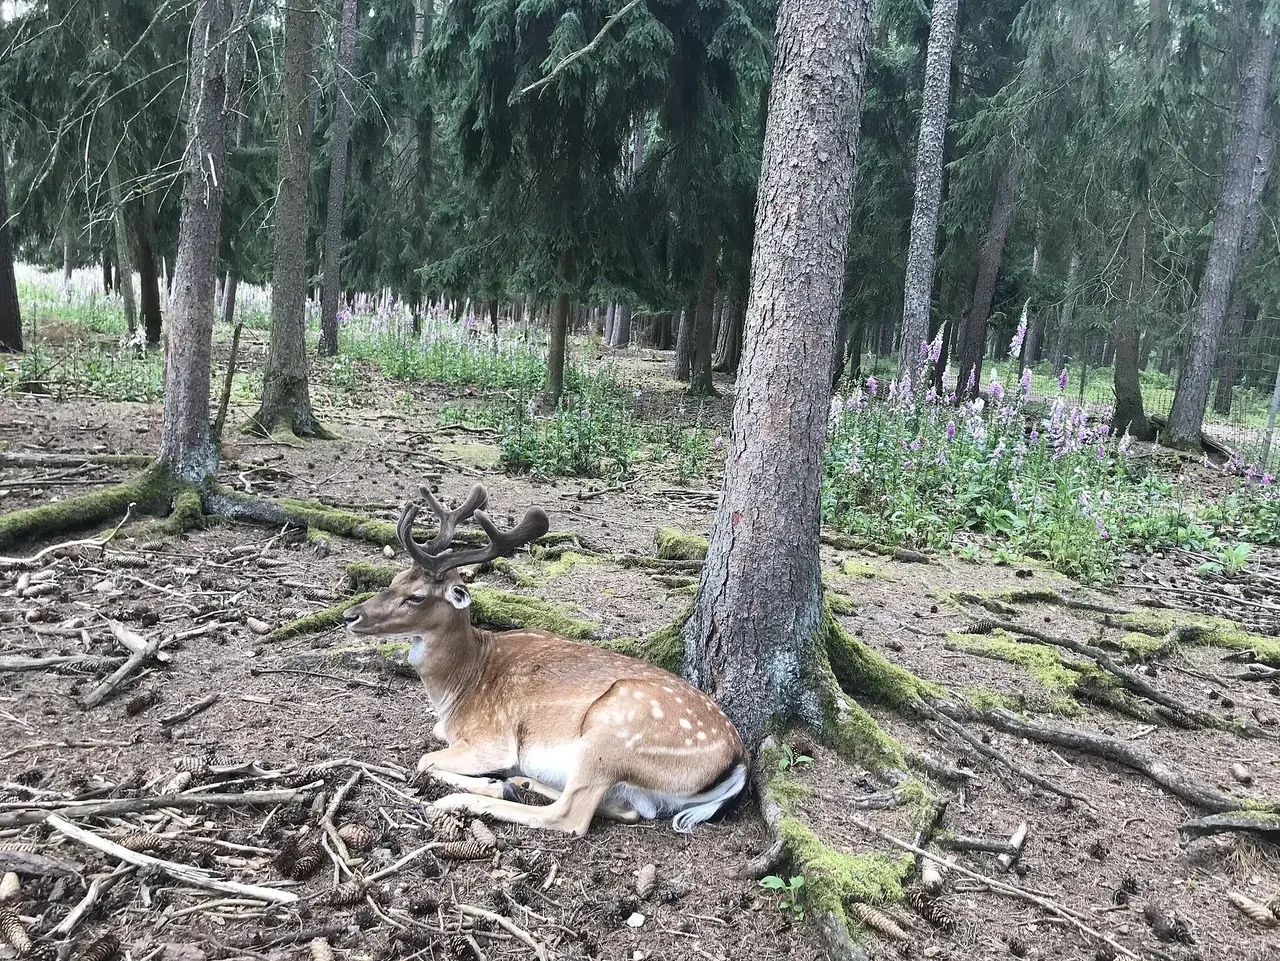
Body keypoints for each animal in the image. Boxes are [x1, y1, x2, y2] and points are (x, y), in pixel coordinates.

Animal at [340, 483, 747, 839]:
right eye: (394, 578)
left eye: (417, 596)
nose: (350, 616)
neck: (458, 688)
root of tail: (739, 760)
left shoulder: (492, 738)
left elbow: (426, 760)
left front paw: (490, 781)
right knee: (625, 808)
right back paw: (520, 781)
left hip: (613, 731)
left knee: (570, 816)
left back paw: (473, 795)